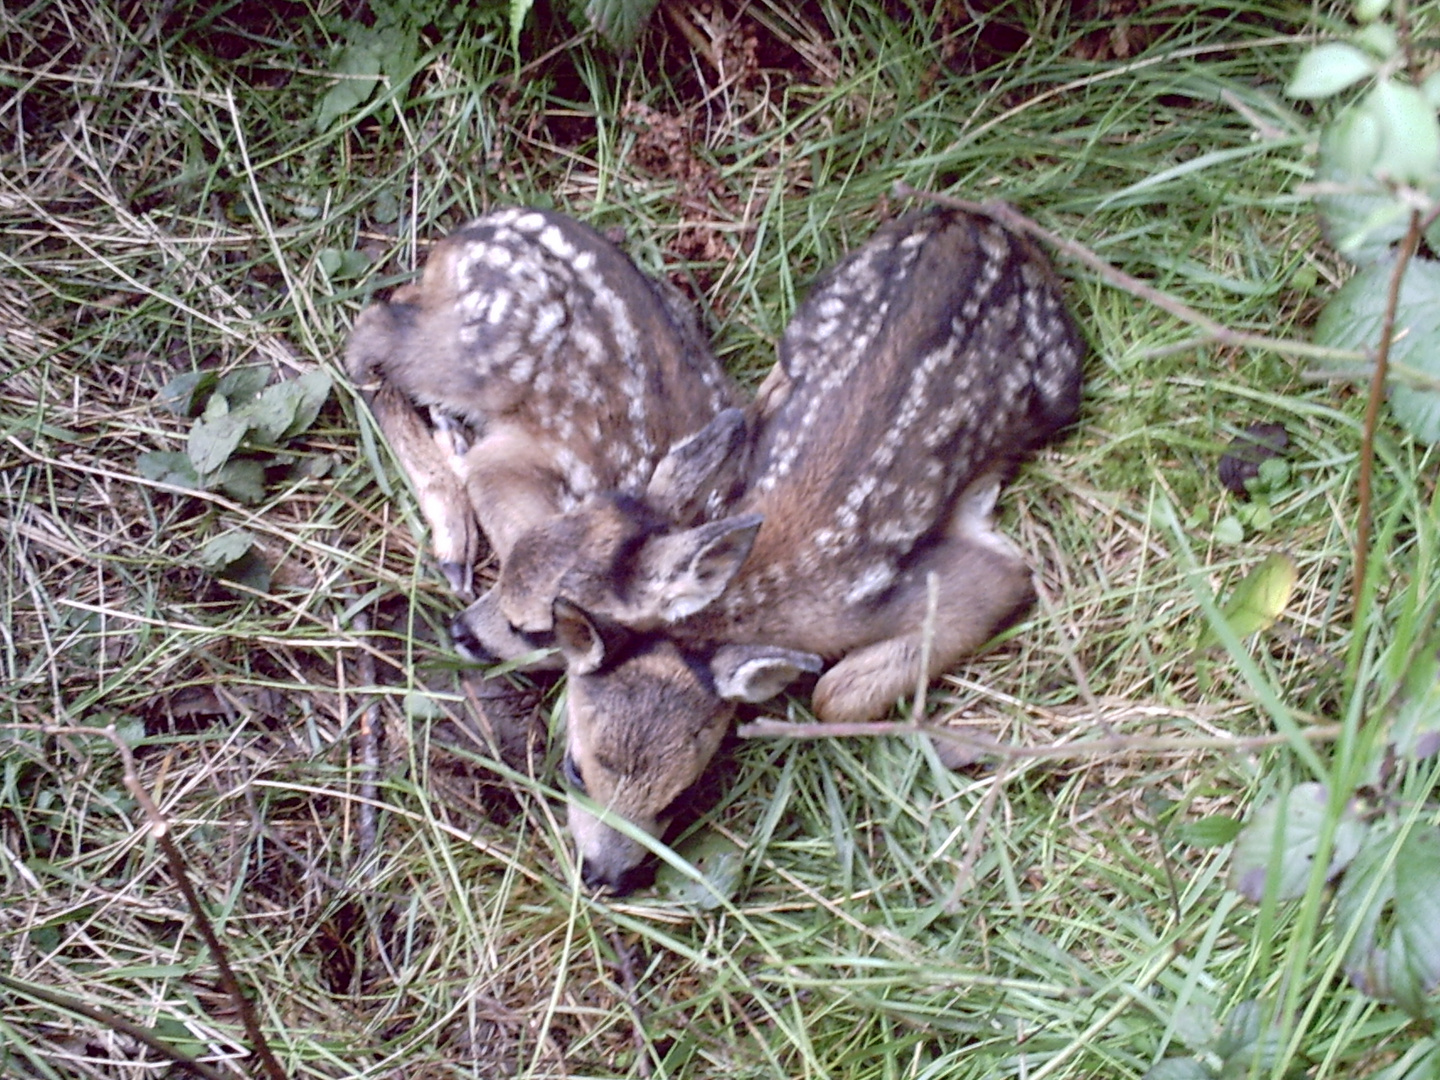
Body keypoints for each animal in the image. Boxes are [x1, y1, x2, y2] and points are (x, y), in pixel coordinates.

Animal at [466, 207, 1082, 892]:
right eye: (575, 771)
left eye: (680, 798)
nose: (604, 876)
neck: (751, 596)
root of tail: (968, 220)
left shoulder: (918, 593)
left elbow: (835, 690)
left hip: (1059, 381)